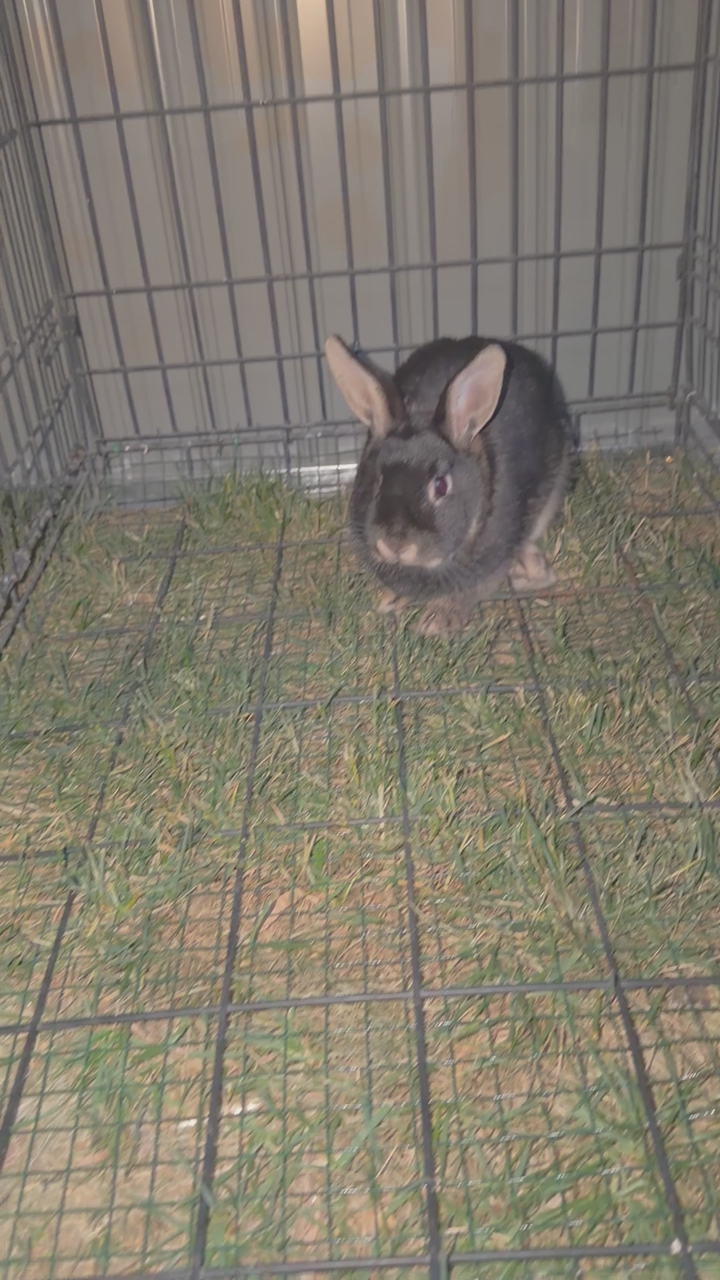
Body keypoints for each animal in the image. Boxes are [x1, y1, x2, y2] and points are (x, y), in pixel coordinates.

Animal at [324, 333, 573, 636]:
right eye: (378, 480)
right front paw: (390, 600)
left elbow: (472, 589)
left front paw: (437, 619)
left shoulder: (492, 562)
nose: (395, 545)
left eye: (441, 486)